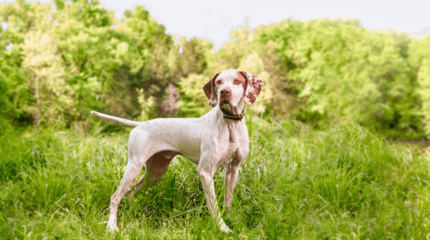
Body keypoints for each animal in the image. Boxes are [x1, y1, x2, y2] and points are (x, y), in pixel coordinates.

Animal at [92, 69, 264, 232]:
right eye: (219, 82)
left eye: (237, 81)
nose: (224, 92)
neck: (230, 124)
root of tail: (140, 124)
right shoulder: (206, 172)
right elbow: (214, 206)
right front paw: (223, 228)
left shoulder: (233, 169)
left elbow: (228, 201)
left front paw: (231, 220)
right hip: (134, 167)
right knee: (115, 196)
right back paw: (111, 226)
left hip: (156, 171)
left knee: (129, 193)